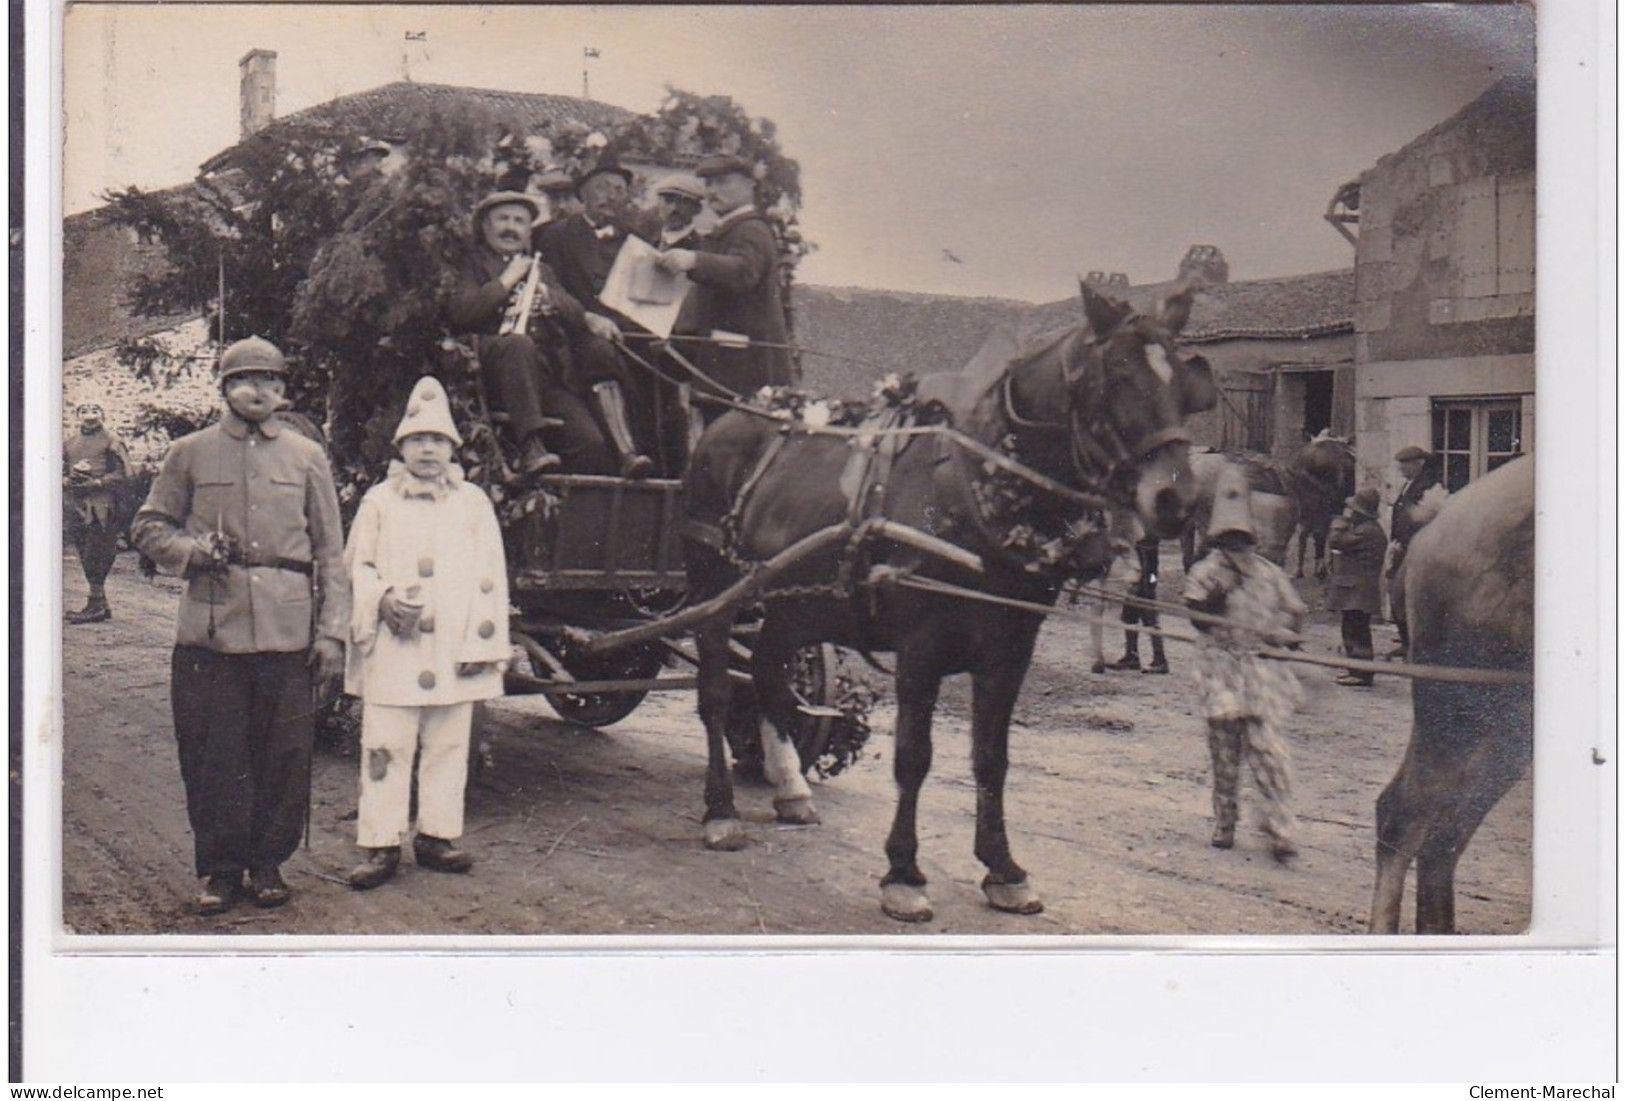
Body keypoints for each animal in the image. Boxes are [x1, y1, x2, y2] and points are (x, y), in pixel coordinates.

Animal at [679, 284, 1215, 922]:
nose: (1177, 500)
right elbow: (914, 755)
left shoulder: (1011, 651)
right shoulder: (920, 648)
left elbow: (992, 758)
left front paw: (1003, 868)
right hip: (714, 590)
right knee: (715, 689)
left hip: (791, 604)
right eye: (1119, 377)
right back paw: (720, 811)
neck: (978, 492)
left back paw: (789, 787)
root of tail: (727, 421)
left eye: (1185, 385)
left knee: (767, 674)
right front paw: (904, 874)